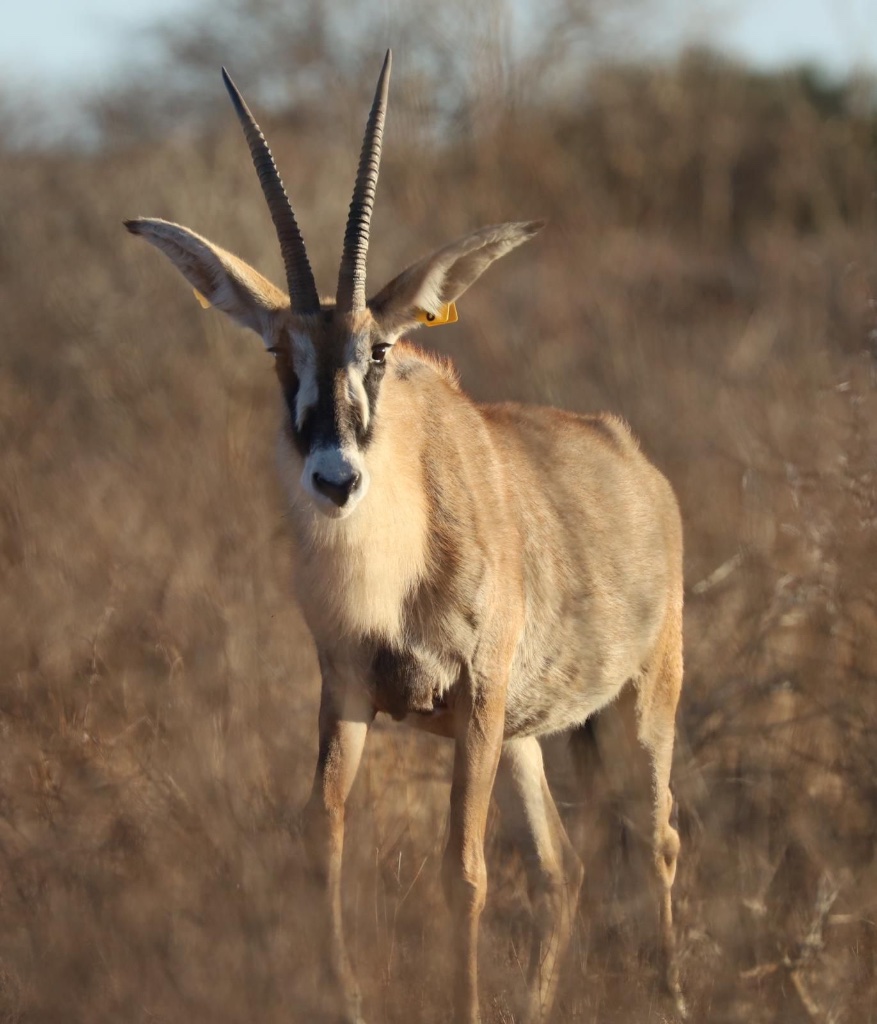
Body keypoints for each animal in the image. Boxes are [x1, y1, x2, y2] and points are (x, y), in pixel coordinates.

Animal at [125, 50, 685, 1024]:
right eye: (279, 355)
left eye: (378, 352)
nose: (334, 479)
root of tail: (635, 461)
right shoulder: (346, 691)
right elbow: (323, 848)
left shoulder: (474, 701)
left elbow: (461, 875)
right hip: (530, 736)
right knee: (563, 872)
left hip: (638, 707)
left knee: (656, 844)